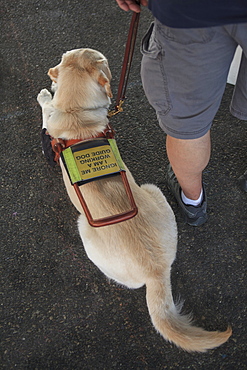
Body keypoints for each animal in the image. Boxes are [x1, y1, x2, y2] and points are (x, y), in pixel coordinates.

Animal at [37, 47, 232, 352]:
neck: (77, 114)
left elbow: (46, 110)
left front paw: (46, 94)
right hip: (155, 193)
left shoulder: (51, 121)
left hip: (87, 228)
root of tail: (156, 272)